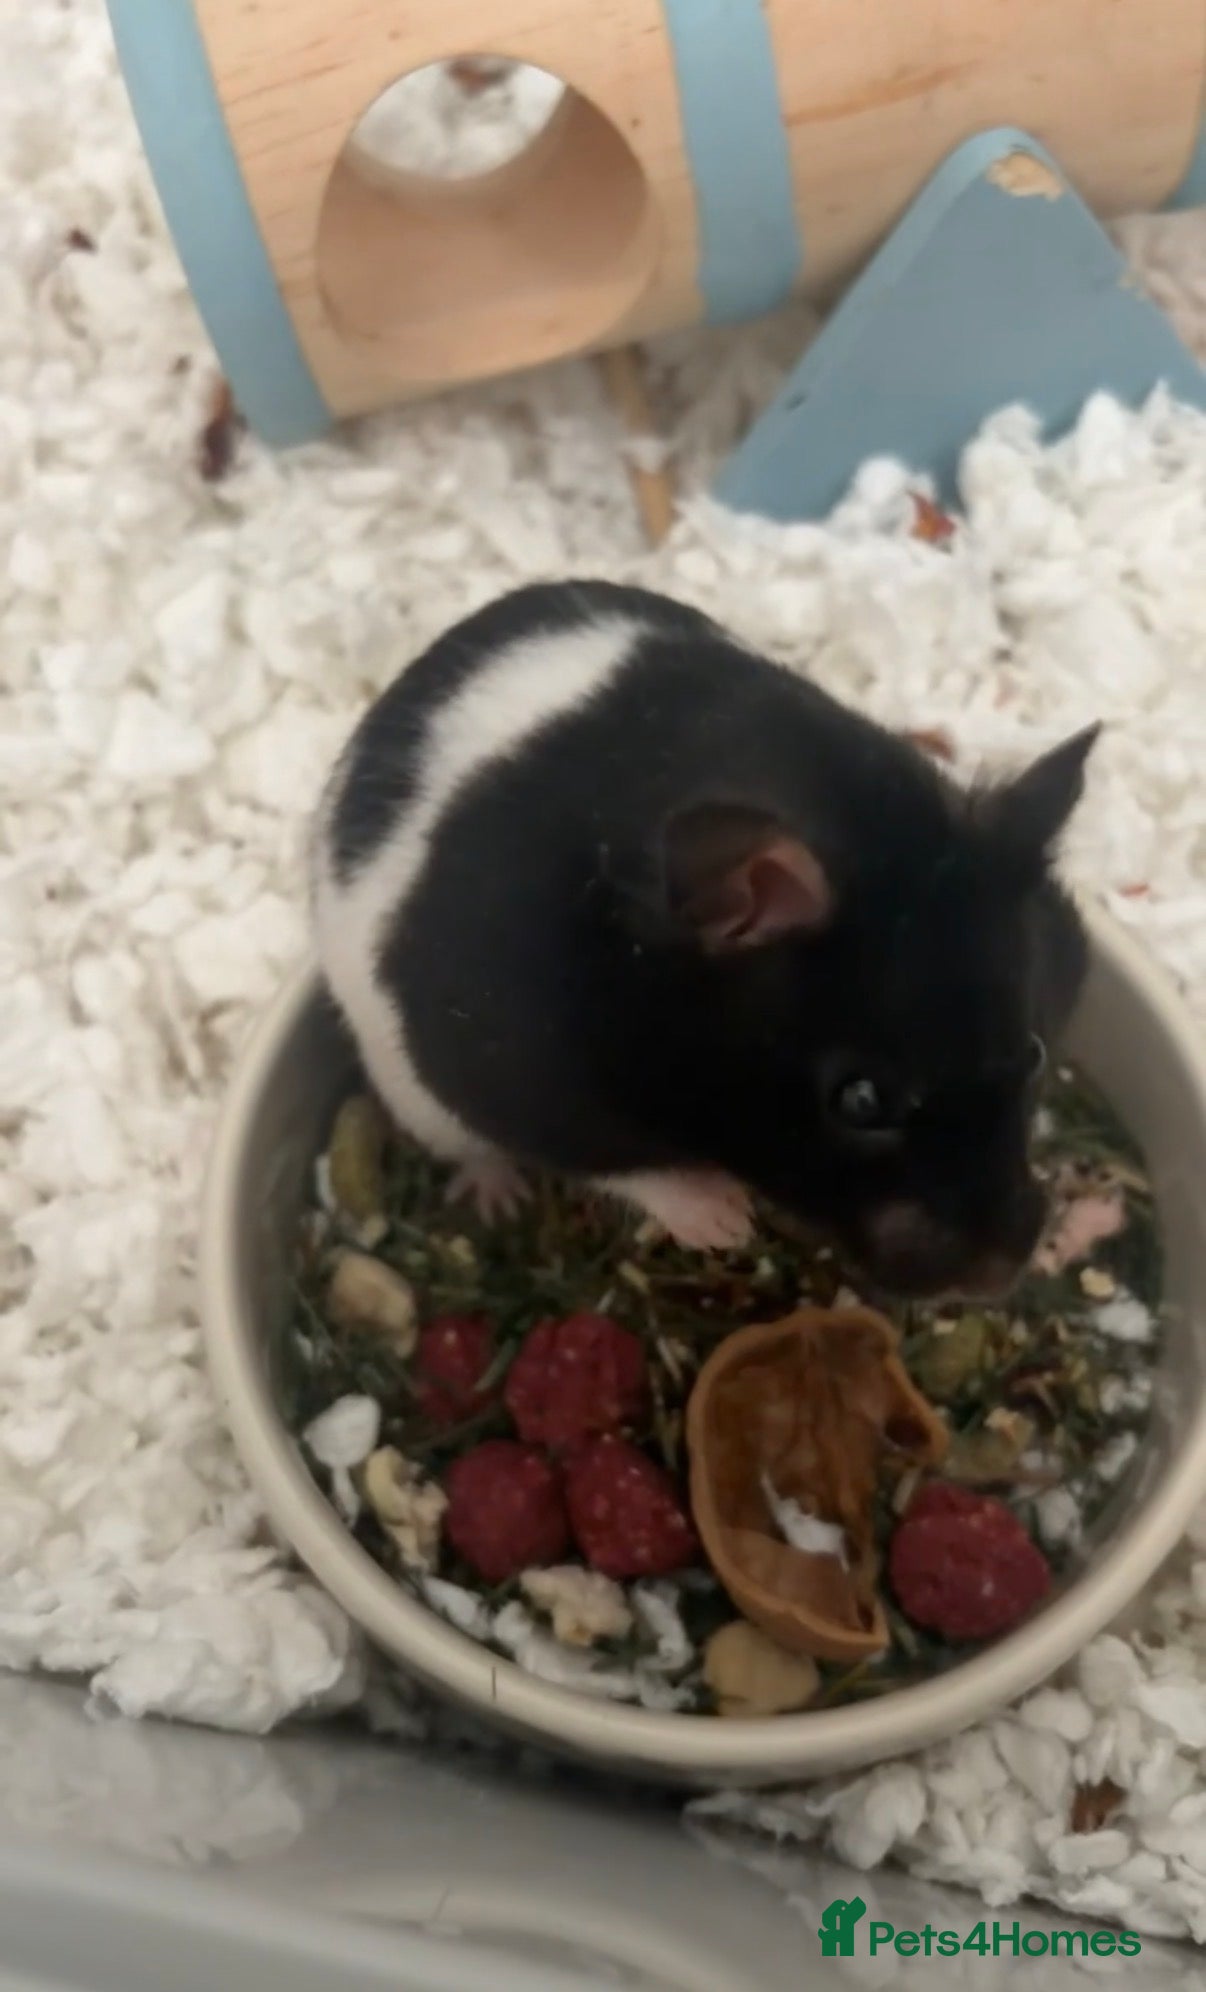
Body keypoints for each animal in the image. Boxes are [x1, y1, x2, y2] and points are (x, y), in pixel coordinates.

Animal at [312, 580, 1098, 1300]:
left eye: (1033, 1051)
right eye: (860, 1101)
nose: (997, 1275)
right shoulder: (507, 1071)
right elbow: (625, 1162)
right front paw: (726, 1223)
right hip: (410, 1086)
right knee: (468, 1148)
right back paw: (498, 1199)